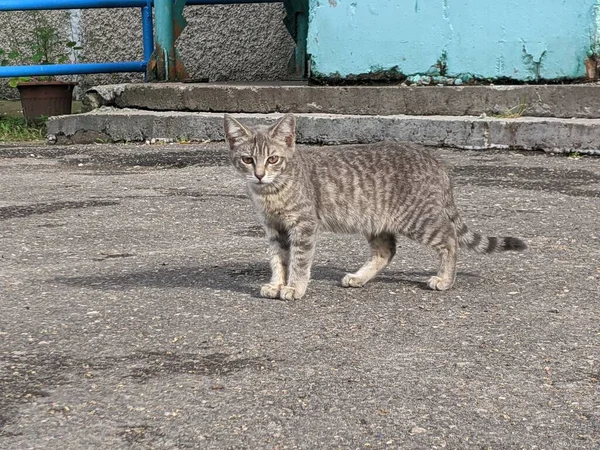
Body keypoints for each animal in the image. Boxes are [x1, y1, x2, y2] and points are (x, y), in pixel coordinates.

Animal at [223, 114, 528, 300]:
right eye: (248, 159)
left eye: (273, 159)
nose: (259, 175)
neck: (271, 192)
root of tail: (435, 160)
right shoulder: (273, 228)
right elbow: (278, 259)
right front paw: (277, 283)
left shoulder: (304, 225)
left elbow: (298, 260)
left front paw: (294, 287)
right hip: (375, 220)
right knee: (386, 251)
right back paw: (359, 277)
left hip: (419, 218)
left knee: (449, 238)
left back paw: (444, 278)